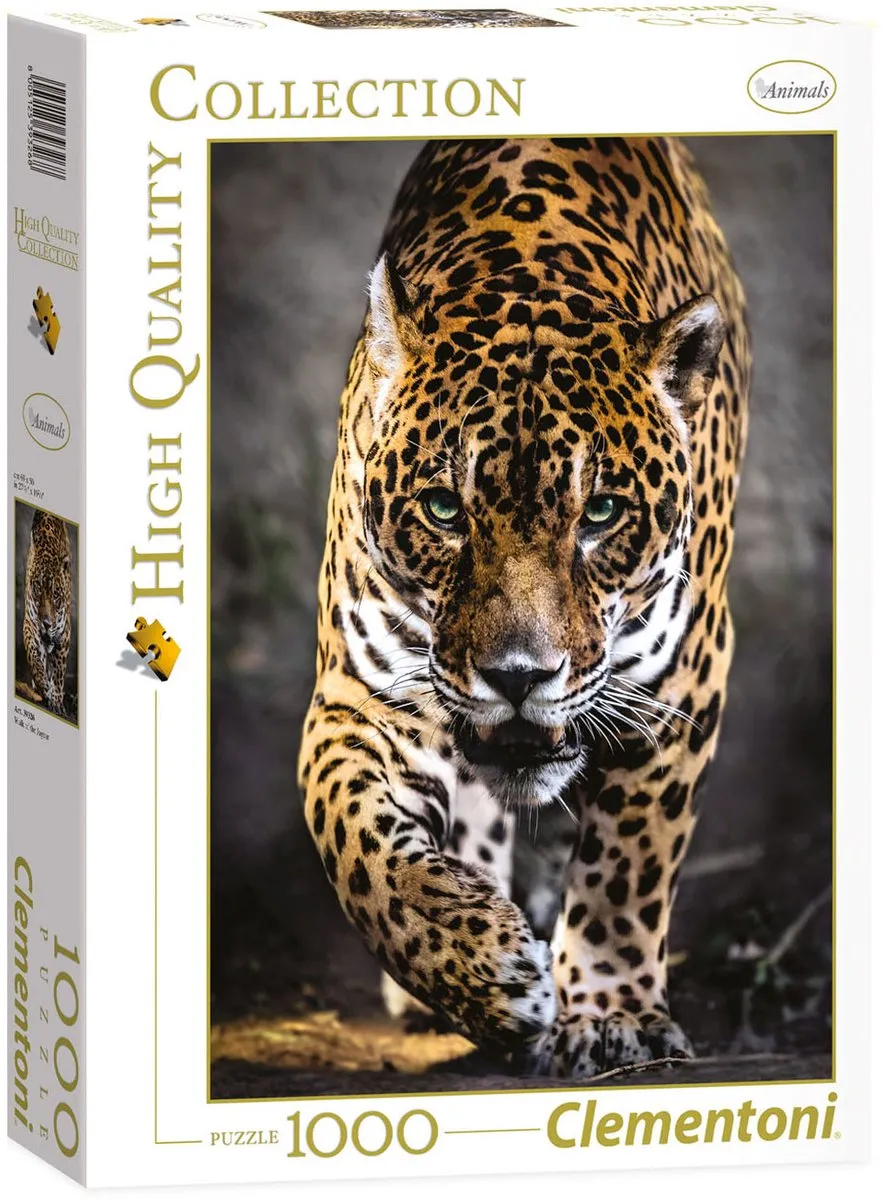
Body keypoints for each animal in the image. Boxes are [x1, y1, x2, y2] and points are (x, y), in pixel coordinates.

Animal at [298, 137, 750, 1077]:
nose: (517, 676)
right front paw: (482, 970)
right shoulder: (361, 695)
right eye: (443, 509)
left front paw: (611, 1016)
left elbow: (628, 863)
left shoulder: (679, 683)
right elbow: (354, 840)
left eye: (601, 513)